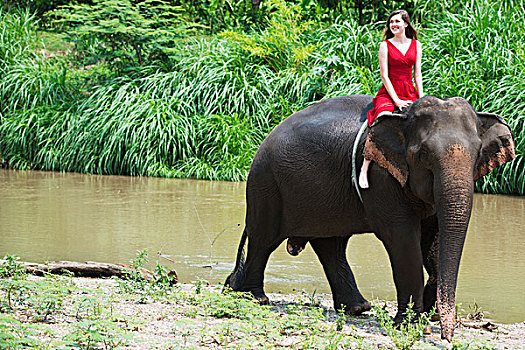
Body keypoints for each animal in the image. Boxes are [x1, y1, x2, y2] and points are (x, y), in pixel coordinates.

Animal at [223, 94, 512, 340]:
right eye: (423, 154)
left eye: (478, 153)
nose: (446, 337)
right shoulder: (379, 176)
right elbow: (404, 240)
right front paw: (409, 324)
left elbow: (434, 239)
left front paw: (427, 310)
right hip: (265, 183)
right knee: (264, 239)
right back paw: (254, 297)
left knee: (330, 244)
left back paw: (357, 308)